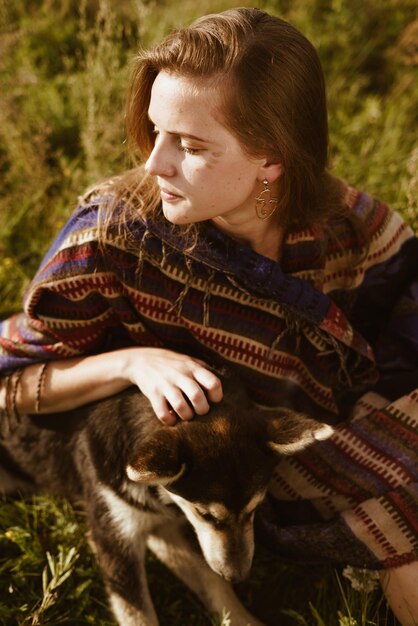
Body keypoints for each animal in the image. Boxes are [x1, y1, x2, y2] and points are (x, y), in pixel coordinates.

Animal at [0, 372, 334, 620]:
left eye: (254, 510)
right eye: (205, 514)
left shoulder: (164, 529)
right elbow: (137, 613)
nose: (237, 576)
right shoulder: (114, 534)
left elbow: (212, 582)